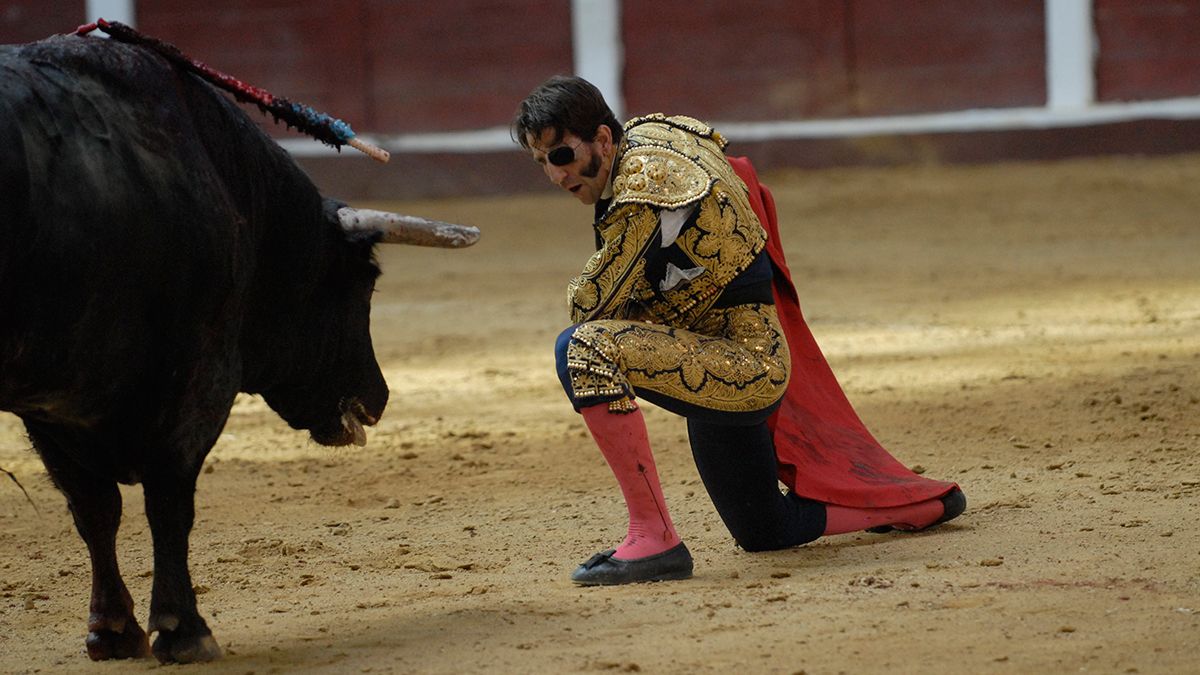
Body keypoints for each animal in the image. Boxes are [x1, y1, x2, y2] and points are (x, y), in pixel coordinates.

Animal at [1, 35, 477, 658]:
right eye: (365, 280)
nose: (379, 399)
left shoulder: (53, 407)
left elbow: (96, 509)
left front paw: (112, 631)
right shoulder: (198, 381)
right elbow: (166, 503)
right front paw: (184, 630)